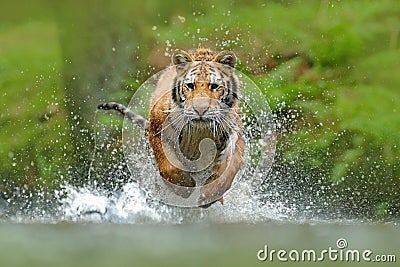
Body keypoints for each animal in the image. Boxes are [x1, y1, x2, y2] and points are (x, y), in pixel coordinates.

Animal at [100, 48, 244, 207]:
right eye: (190, 85)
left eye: (214, 86)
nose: (200, 109)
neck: (200, 131)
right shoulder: (157, 130)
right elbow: (169, 165)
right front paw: (185, 187)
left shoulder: (235, 136)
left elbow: (229, 169)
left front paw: (209, 194)